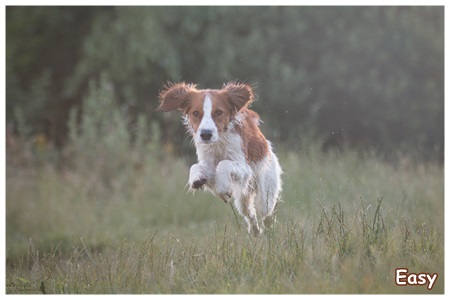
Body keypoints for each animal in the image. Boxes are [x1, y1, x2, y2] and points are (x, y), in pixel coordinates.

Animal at [159, 82, 282, 237]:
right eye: (195, 113)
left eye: (218, 112)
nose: (206, 134)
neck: (219, 142)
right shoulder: (208, 162)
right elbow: (196, 166)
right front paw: (197, 179)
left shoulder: (244, 166)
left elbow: (223, 164)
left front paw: (223, 189)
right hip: (243, 198)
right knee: (250, 214)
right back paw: (255, 232)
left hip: (265, 191)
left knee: (266, 213)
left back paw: (270, 231)